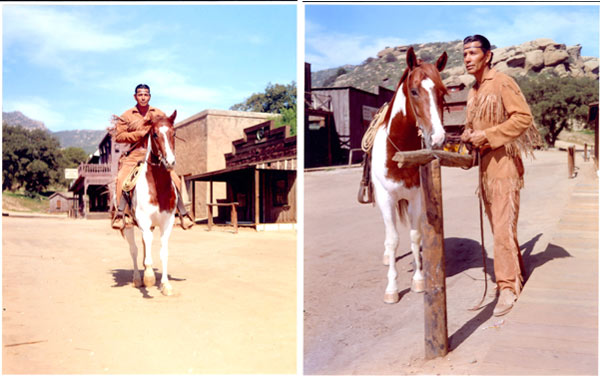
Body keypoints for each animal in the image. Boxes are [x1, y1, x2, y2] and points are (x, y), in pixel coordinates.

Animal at [122, 110, 177, 296]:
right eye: (154, 134)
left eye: (174, 133)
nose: (170, 162)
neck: (158, 189)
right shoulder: (143, 220)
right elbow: (145, 245)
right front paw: (149, 277)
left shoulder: (167, 222)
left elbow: (164, 251)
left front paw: (166, 285)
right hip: (128, 225)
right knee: (134, 250)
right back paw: (138, 279)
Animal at [370, 47, 450, 304]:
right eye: (414, 91)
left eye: (443, 92)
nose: (438, 138)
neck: (398, 150)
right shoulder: (386, 198)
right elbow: (393, 239)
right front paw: (392, 288)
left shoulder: (415, 197)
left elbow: (415, 236)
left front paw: (419, 279)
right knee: (389, 234)